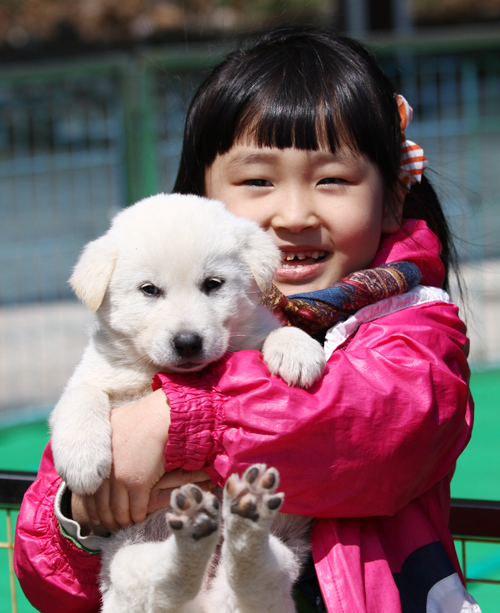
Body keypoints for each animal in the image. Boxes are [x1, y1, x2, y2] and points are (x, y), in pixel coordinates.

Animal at [49, 192, 324, 612]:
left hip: (280, 561)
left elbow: (273, 332)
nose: (188, 342)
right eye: (149, 290)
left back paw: (245, 513)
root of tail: (206, 599)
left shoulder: (253, 334)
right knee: (166, 579)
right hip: (126, 565)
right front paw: (82, 461)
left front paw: (298, 350)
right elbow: (82, 397)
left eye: (213, 284)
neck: (159, 371)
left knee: (253, 574)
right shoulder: (94, 374)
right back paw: (196, 528)